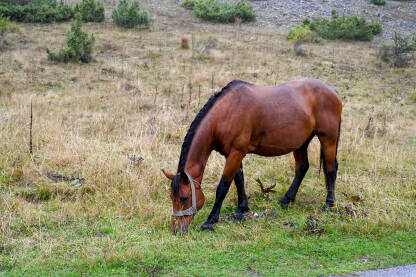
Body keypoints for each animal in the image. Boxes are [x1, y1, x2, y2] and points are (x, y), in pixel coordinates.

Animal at [162, 77, 342, 233]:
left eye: (184, 198)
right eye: (171, 197)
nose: (177, 229)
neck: (227, 112)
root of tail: (333, 92)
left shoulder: (236, 153)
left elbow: (223, 187)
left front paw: (210, 220)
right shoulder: (232, 154)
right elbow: (239, 180)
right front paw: (242, 209)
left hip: (328, 139)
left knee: (331, 169)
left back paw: (328, 204)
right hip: (301, 143)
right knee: (302, 168)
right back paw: (286, 200)